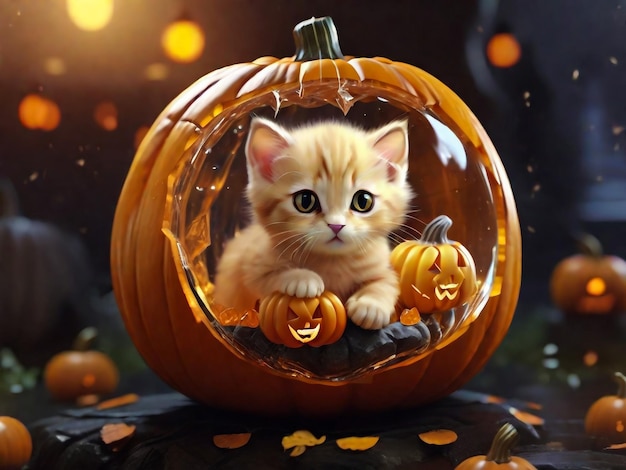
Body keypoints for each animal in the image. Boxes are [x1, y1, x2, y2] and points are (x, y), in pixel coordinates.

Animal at [212, 116, 412, 330]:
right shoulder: (249, 268)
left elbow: (386, 282)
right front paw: (302, 278)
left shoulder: (383, 266)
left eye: (363, 201)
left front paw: (371, 306)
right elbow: (268, 278)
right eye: (305, 201)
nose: (336, 225)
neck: (333, 262)